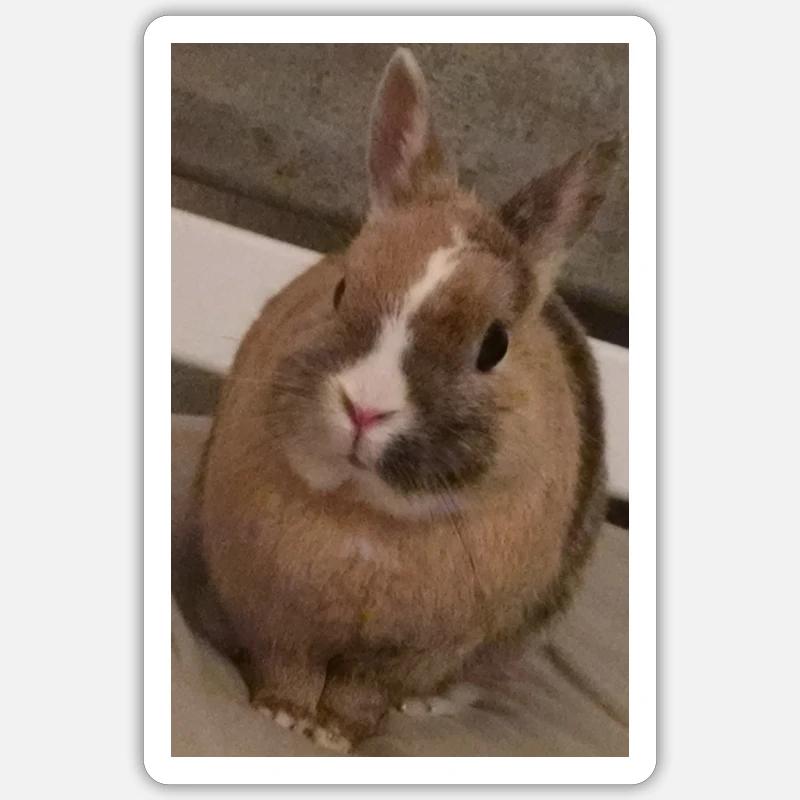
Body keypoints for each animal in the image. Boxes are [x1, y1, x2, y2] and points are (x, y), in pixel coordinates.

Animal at [194, 48, 618, 752]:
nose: (365, 408)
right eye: (341, 288)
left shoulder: (413, 652)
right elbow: (289, 666)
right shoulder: (274, 615)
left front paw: (336, 734)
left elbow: (364, 692)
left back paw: (429, 708)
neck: (364, 514)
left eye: (495, 345)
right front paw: (283, 715)